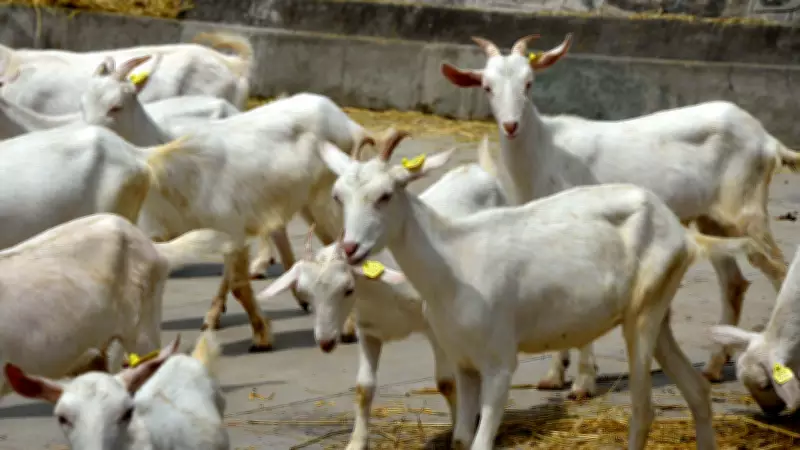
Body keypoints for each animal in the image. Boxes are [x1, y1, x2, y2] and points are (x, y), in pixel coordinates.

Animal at [258, 136, 506, 450]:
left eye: (348, 289)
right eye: (305, 293)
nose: (325, 342)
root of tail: (476, 170)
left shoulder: (435, 328)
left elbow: (446, 382)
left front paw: (457, 428)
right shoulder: (368, 331)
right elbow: (363, 388)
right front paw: (356, 441)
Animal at [441, 33, 797, 393]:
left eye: (529, 83)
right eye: (487, 87)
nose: (511, 125)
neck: (546, 151)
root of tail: (767, 140)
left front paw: (583, 382)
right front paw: (554, 376)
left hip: (746, 208)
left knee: (778, 269)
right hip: (711, 217)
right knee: (733, 282)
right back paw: (712, 367)